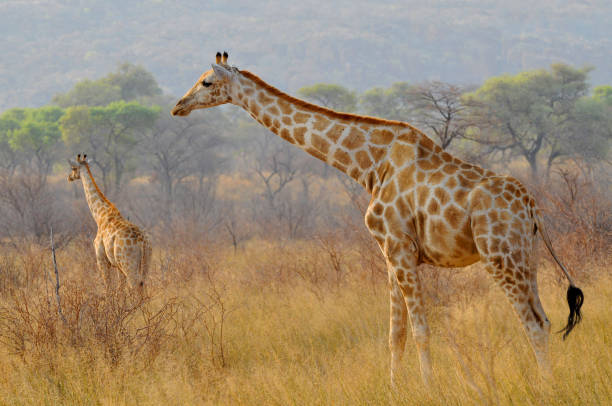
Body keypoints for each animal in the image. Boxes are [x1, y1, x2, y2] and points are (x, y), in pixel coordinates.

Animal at [67, 154, 151, 294]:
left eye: (73, 168)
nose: (69, 177)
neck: (100, 216)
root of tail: (142, 242)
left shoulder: (102, 260)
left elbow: (108, 288)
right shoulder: (117, 265)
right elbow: (120, 289)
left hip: (128, 264)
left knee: (135, 285)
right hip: (145, 263)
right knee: (143, 285)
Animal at [171, 52, 584, 386]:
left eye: (206, 81)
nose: (178, 106)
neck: (369, 166)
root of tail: (532, 208)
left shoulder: (400, 249)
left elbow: (420, 330)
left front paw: (429, 389)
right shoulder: (389, 254)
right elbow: (394, 335)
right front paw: (394, 388)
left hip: (499, 256)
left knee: (532, 323)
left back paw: (546, 389)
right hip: (525, 257)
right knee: (546, 320)